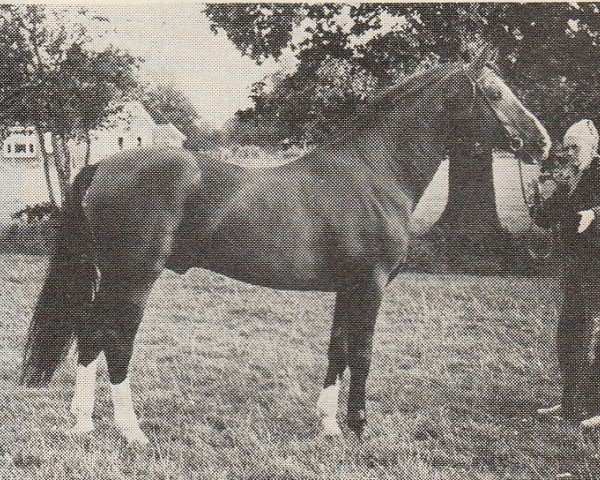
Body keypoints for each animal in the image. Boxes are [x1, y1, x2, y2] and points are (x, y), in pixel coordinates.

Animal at [22, 50, 548, 444]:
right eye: (495, 93)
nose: (541, 142)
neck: (374, 174)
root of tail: (105, 165)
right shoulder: (371, 286)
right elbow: (362, 352)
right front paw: (357, 427)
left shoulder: (348, 288)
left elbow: (337, 351)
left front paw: (329, 426)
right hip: (131, 279)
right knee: (110, 342)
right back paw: (130, 431)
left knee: (90, 338)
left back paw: (84, 424)